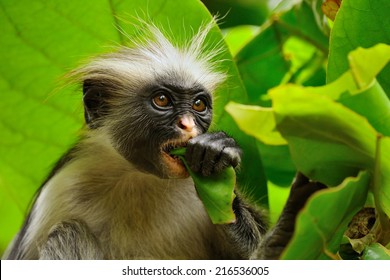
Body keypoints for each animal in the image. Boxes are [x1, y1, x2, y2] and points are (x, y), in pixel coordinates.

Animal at [3, 20, 326, 260]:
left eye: (198, 105)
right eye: (162, 100)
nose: (188, 125)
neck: (139, 177)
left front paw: (217, 153)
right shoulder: (59, 190)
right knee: (68, 233)